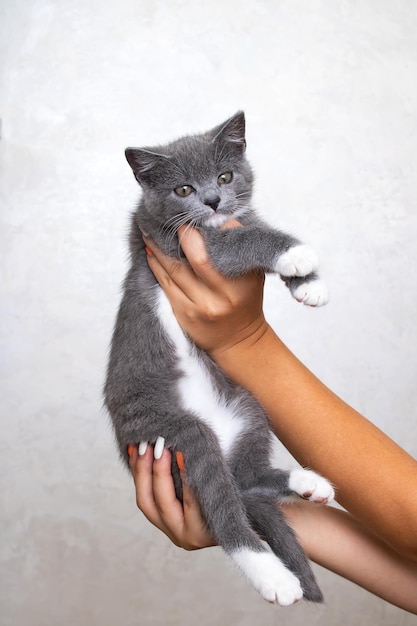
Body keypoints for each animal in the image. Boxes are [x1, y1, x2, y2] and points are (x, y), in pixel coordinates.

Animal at [105, 109, 334, 604]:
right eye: (183, 190)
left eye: (225, 177)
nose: (212, 201)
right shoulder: (174, 242)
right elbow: (240, 242)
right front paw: (296, 252)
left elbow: (249, 226)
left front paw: (309, 285)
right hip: (163, 430)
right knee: (224, 502)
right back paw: (274, 578)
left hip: (247, 406)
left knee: (245, 481)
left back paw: (305, 482)